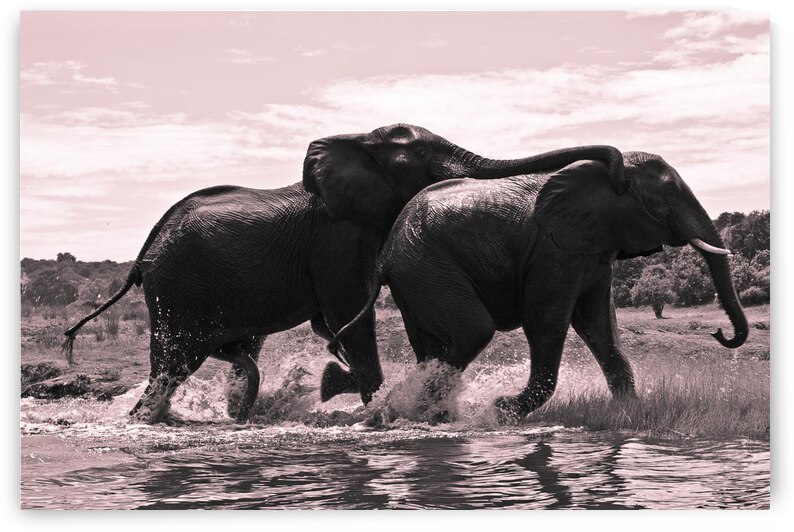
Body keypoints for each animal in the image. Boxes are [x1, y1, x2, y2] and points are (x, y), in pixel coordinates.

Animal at [62, 123, 626, 424]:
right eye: (429, 163)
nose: (618, 167)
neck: (357, 141)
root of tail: (143, 254)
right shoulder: (339, 240)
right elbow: (350, 318)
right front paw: (362, 404)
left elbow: (335, 325)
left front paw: (338, 387)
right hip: (177, 287)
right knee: (176, 360)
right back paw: (155, 419)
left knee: (228, 350)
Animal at [329, 152, 748, 423]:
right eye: (667, 198)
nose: (719, 332)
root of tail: (386, 253)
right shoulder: (554, 251)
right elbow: (548, 320)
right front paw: (502, 410)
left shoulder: (593, 251)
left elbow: (600, 326)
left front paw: (631, 414)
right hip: (426, 267)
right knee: (472, 332)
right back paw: (404, 413)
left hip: (415, 278)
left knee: (431, 345)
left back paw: (426, 415)